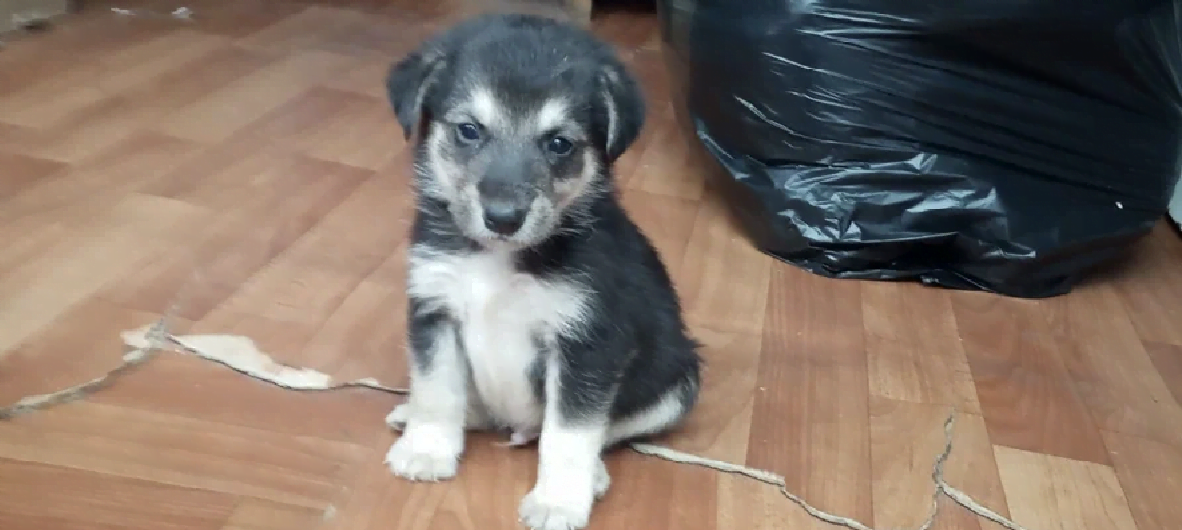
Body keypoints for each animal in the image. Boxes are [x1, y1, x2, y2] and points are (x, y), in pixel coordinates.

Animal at [382, 12, 699, 530]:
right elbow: (437, 389)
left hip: (678, 383)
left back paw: (592, 476)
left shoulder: (587, 346)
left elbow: (570, 434)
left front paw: (558, 501)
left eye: (559, 144)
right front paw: (427, 449)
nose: (503, 218)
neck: (499, 260)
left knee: (603, 430)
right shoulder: (434, 308)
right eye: (469, 130)